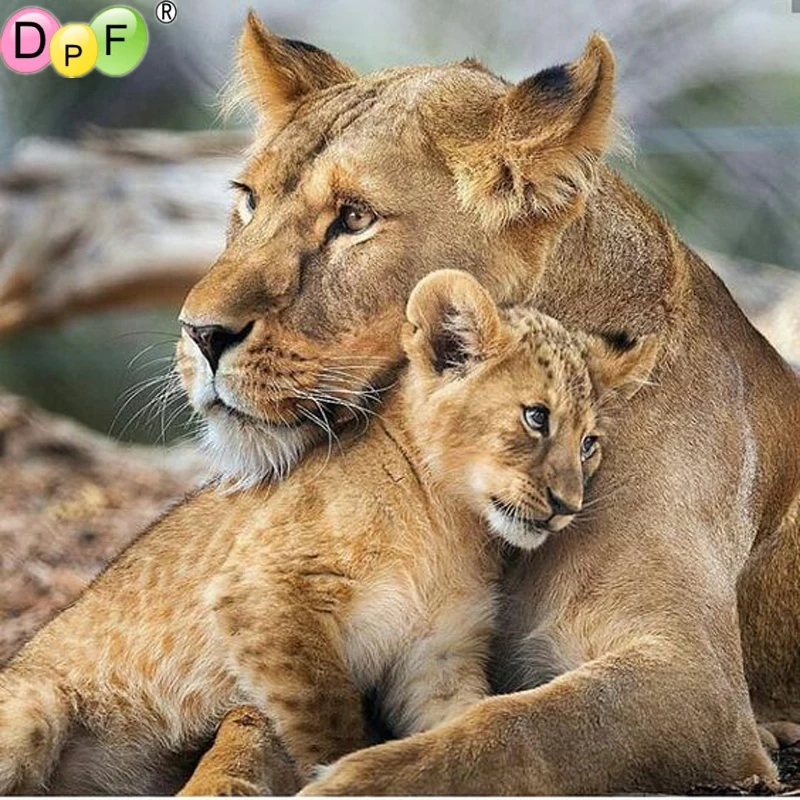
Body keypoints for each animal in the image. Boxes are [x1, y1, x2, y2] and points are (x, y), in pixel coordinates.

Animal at [0, 270, 654, 794]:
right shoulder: (263, 592)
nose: (567, 505)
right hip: (35, 708)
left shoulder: (436, 657)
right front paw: (336, 770)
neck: (450, 523)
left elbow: (460, 730)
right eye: (536, 417)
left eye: (589, 443)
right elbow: (327, 717)